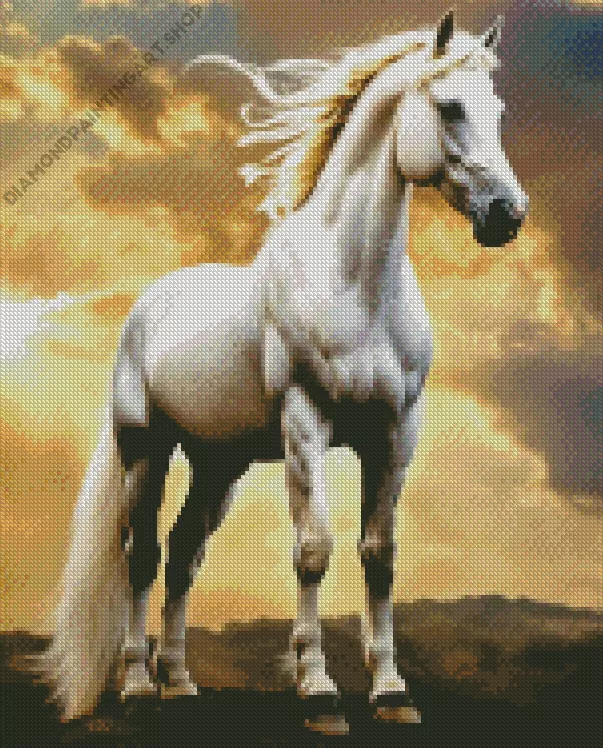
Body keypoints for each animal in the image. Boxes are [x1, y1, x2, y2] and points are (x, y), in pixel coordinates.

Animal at [39, 11, 528, 732]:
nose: (506, 216)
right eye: (448, 107)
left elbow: (379, 555)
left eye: (496, 110)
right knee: (142, 556)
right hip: (146, 450)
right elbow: (313, 550)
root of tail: (149, 304)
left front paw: (392, 693)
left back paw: (180, 683)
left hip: (219, 463)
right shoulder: (306, 424)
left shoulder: (396, 433)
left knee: (184, 555)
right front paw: (319, 691)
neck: (354, 285)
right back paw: (136, 685)